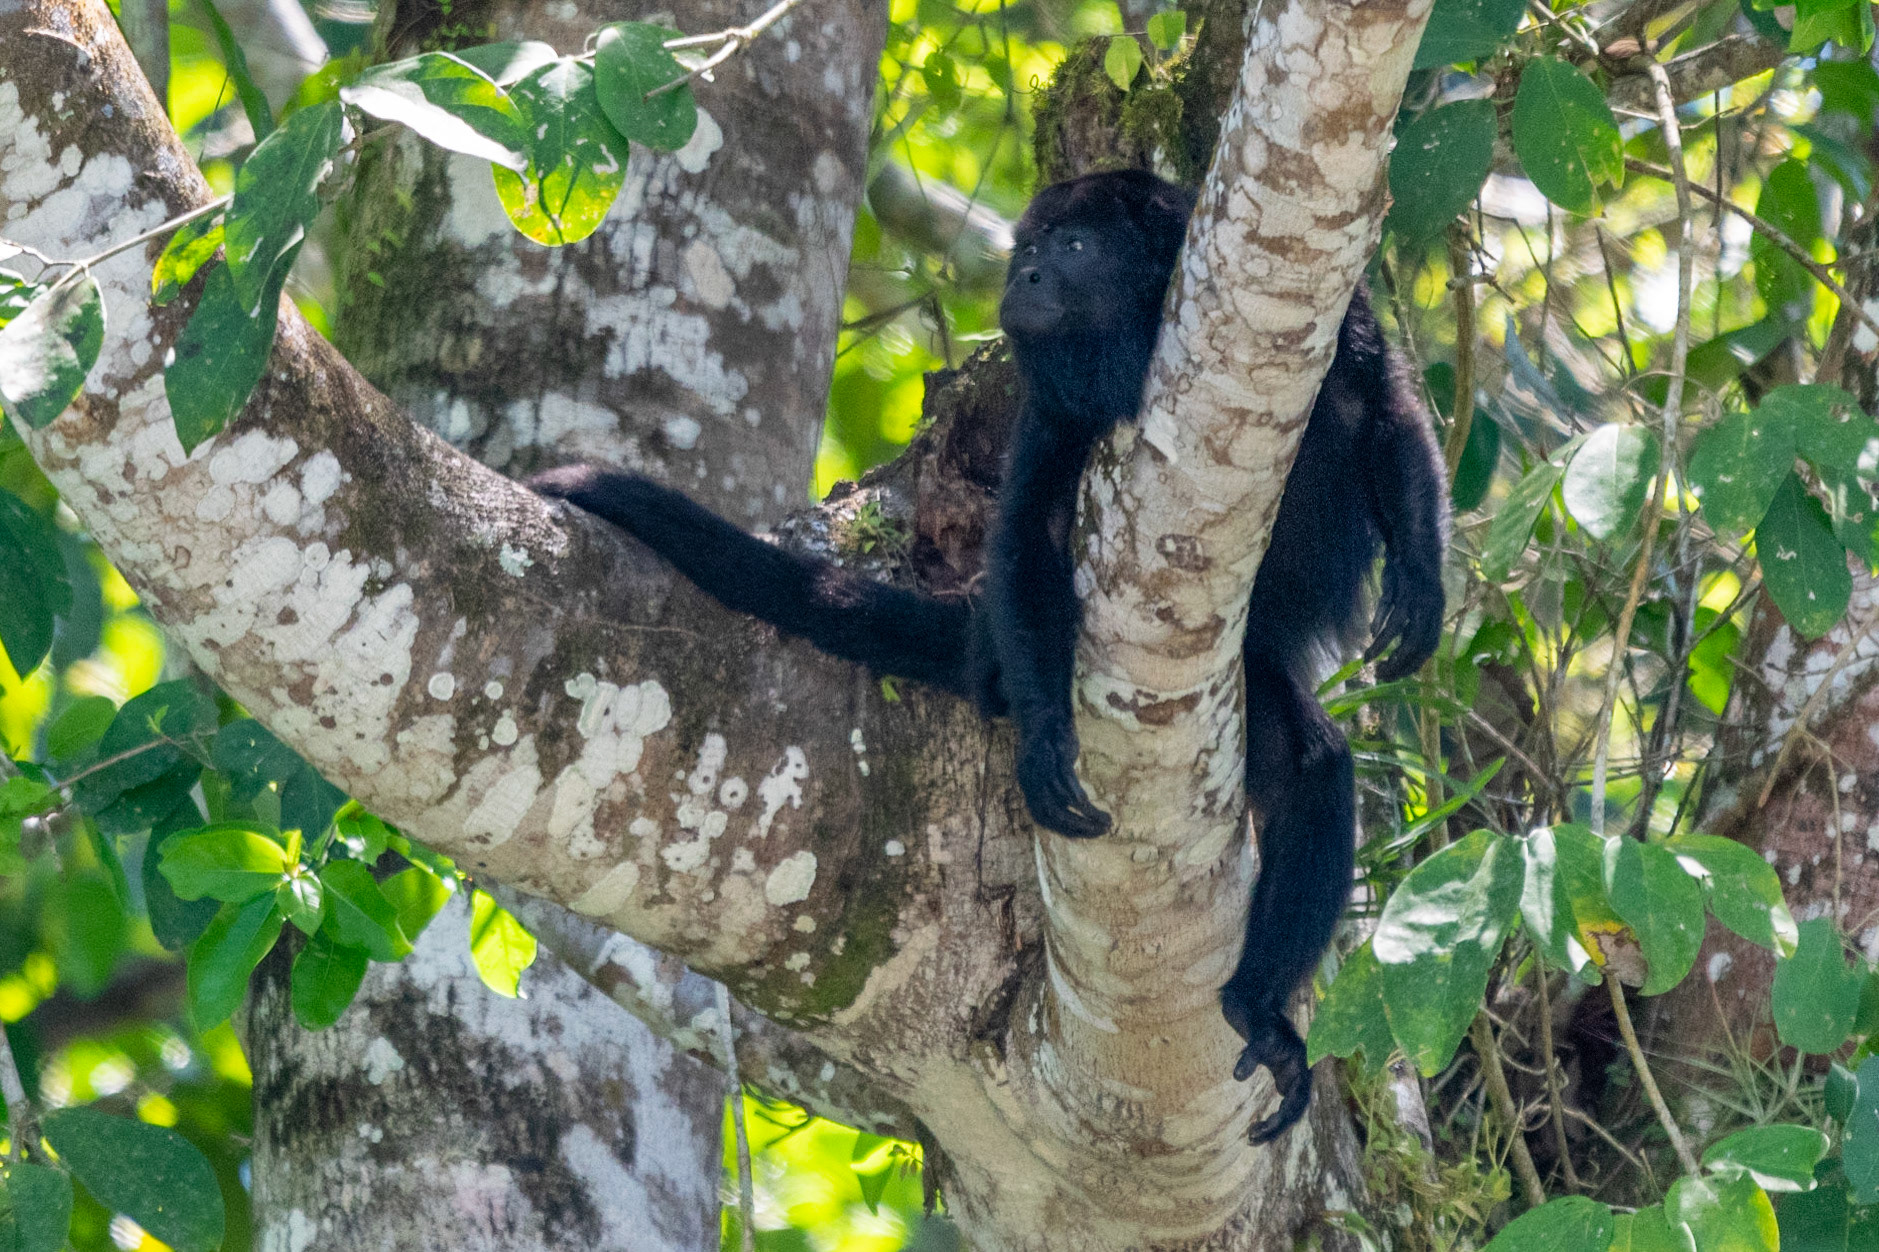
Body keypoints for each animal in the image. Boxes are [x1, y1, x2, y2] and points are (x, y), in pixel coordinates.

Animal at [531, 168, 1449, 1143]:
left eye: (1075, 247)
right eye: (1030, 247)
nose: (1028, 277)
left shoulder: (1343, 317)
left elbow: (1380, 407)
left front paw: (1422, 586)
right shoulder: (1049, 405)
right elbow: (1030, 538)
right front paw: (1045, 739)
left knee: (1313, 769)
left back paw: (1257, 1007)